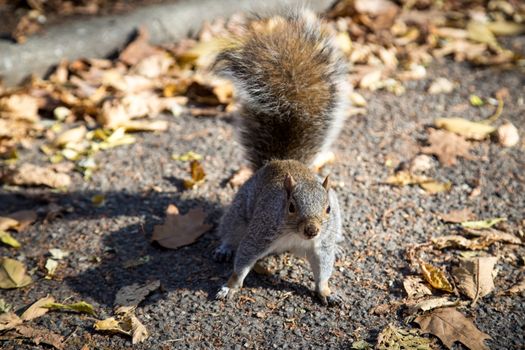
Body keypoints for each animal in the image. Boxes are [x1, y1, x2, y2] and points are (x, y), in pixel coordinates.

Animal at [209, 9, 348, 304]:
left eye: (328, 209)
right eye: (291, 206)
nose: (312, 230)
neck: (296, 237)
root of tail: (279, 162)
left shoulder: (320, 246)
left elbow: (323, 271)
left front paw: (326, 292)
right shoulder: (261, 232)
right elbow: (243, 259)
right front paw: (230, 286)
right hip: (239, 211)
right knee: (230, 231)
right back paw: (224, 248)